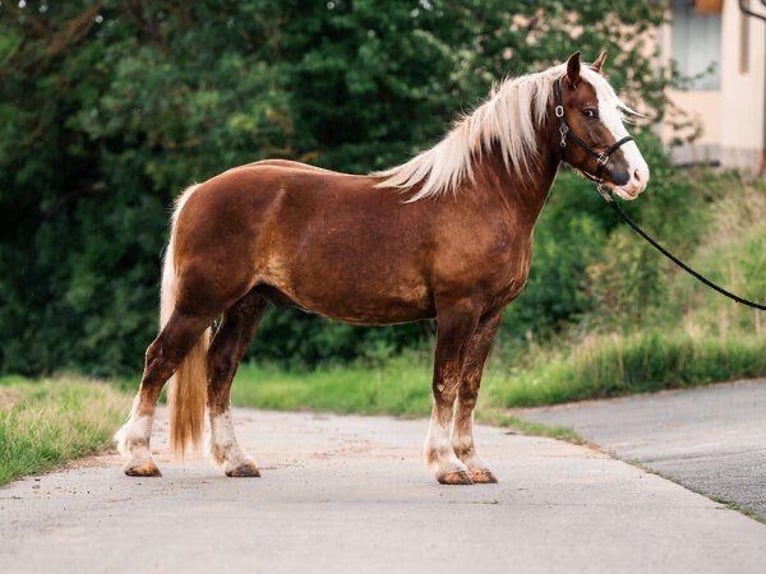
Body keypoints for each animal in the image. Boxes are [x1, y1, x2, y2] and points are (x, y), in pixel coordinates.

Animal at [117, 53, 652, 486]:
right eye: (588, 112)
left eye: (616, 108)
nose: (637, 177)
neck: (481, 194)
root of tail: (198, 192)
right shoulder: (457, 311)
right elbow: (445, 383)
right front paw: (447, 465)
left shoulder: (490, 315)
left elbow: (470, 388)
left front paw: (473, 462)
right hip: (199, 304)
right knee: (159, 360)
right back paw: (139, 458)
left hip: (248, 305)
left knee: (220, 370)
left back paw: (236, 460)